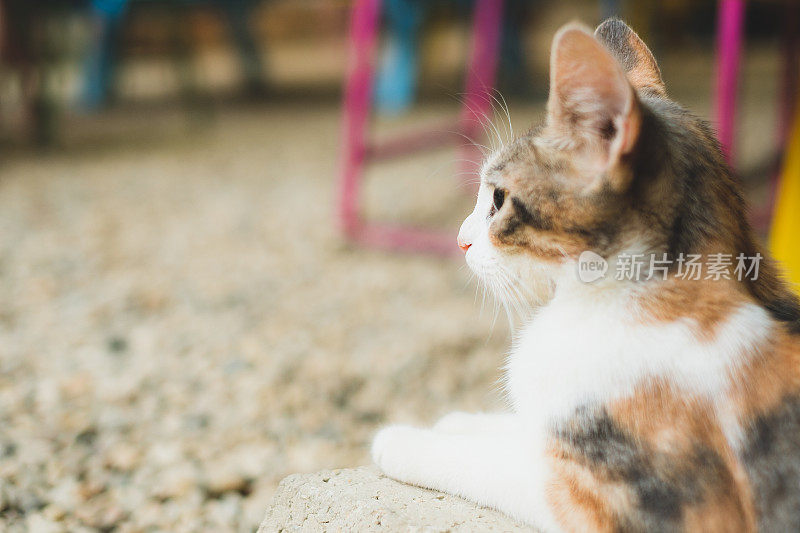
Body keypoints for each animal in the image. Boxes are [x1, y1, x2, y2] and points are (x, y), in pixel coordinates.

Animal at [370, 18, 800, 528]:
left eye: (498, 199)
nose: (460, 239)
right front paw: (462, 421)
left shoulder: (615, 502)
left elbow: (496, 464)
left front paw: (405, 438)